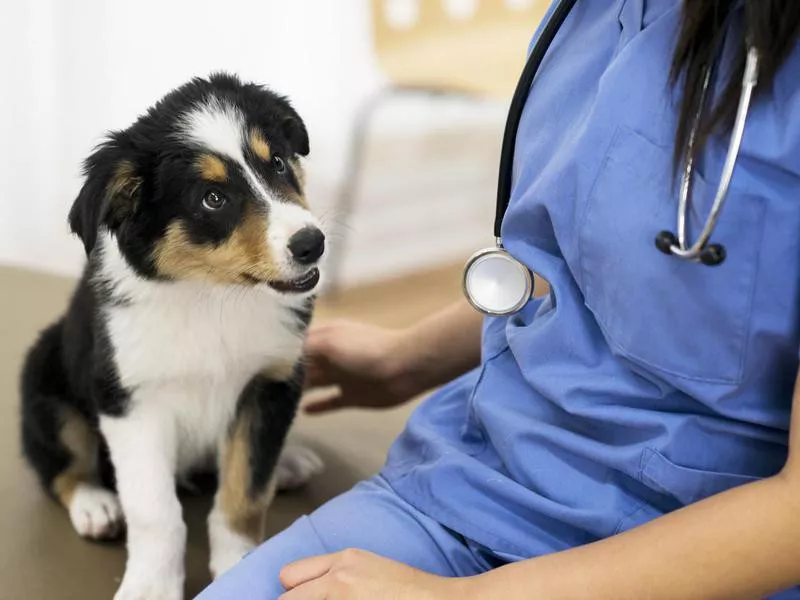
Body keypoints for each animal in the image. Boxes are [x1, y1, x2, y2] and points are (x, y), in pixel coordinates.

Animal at [19, 72, 324, 596]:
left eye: (278, 163)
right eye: (213, 198)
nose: (312, 244)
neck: (212, 297)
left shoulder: (270, 383)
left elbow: (245, 491)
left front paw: (239, 564)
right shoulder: (130, 401)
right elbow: (154, 512)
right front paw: (150, 586)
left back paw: (288, 462)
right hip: (43, 371)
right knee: (60, 465)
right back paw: (95, 504)